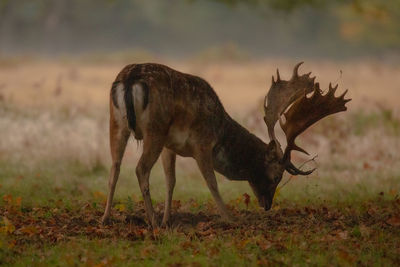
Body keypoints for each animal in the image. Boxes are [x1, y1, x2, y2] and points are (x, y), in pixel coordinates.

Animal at [100, 62, 350, 228]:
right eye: (277, 176)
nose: (267, 205)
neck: (221, 131)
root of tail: (130, 79)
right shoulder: (201, 142)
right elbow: (212, 183)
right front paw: (230, 218)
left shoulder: (171, 146)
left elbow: (171, 182)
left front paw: (167, 219)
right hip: (155, 128)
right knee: (140, 169)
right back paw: (151, 221)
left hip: (117, 123)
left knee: (114, 168)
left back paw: (105, 218)